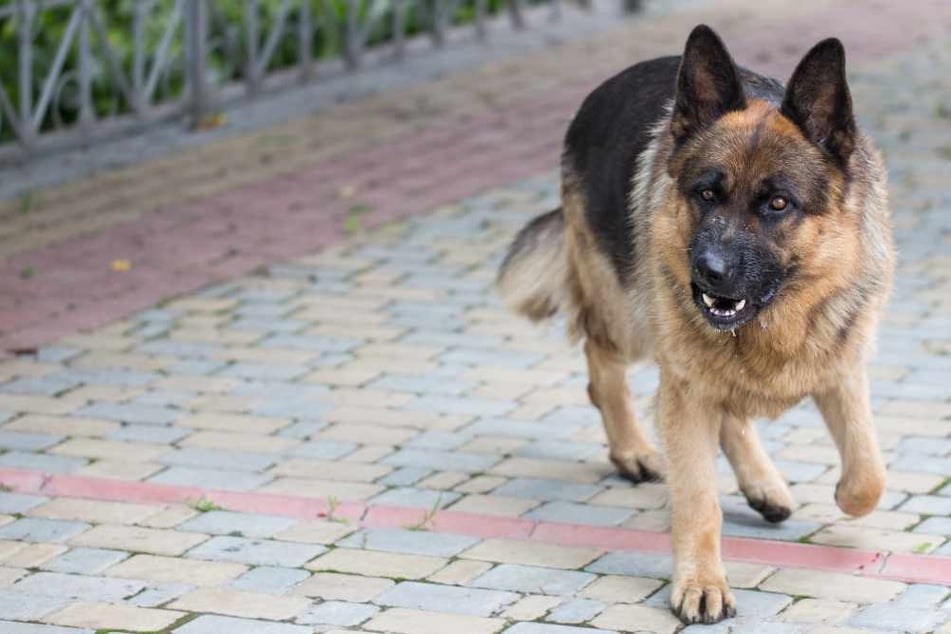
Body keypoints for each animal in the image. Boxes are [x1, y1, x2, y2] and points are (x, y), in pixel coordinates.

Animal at [498, 25, 892, 624]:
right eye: (707, 193)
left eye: (778, 204)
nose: (708, 271)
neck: (774, 324)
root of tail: (605, 87)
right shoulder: (685, 389)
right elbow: (698, 499)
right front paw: (701, 583)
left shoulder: (841, 365)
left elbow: (868, 476)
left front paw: (845, 493)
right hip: (629, 318)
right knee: (600, 361)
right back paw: (632, 450)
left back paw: (763, 483)